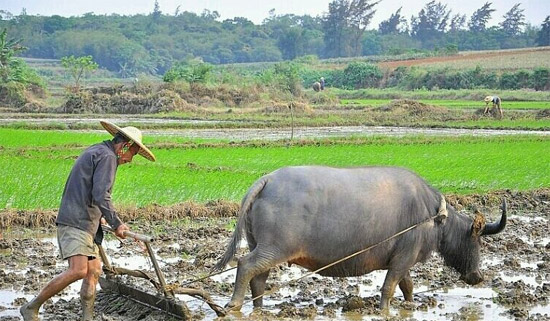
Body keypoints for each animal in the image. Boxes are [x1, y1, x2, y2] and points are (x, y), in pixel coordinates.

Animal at [213, 166, 506, 308]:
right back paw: (234, 304)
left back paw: (259, 307)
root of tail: (266, 181)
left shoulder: (402, 259)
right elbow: (389, 288)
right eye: (477, 240)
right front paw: (384, 309)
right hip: (274, 248)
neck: (432, 215)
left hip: (262, 246)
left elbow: (407, 286)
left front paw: (412, 305)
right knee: (245, 266)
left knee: (258, 278)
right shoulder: (404, 256)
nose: (478, 276)